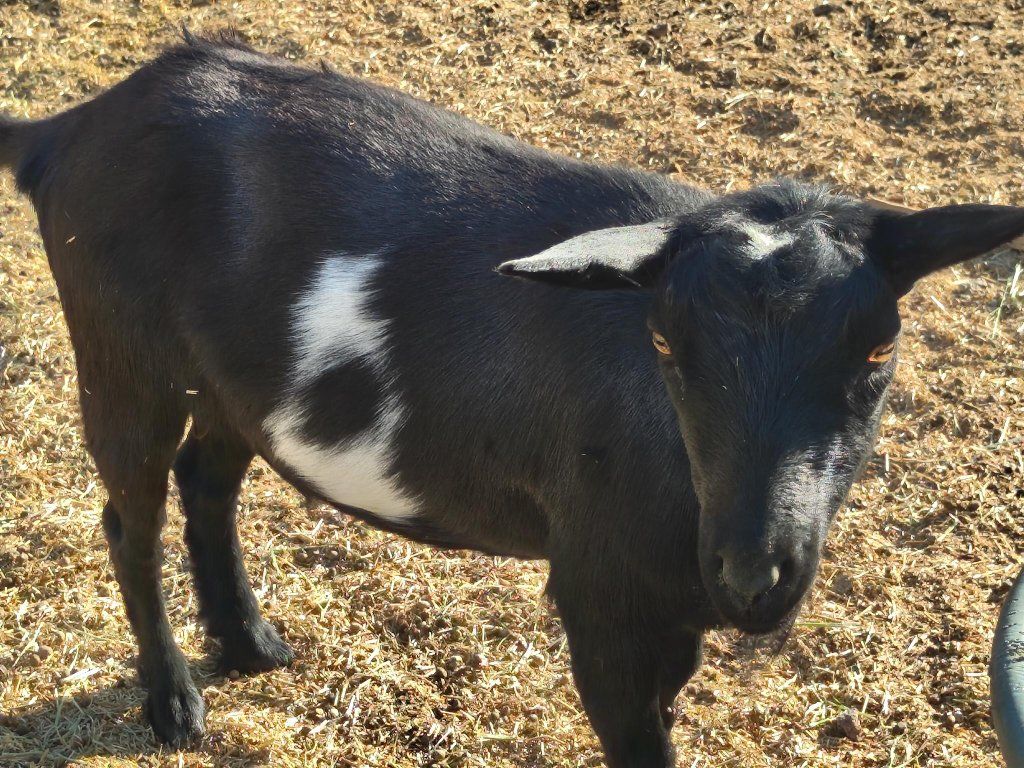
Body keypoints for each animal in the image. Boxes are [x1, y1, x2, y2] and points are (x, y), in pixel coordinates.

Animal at [2, 34, 1022, 767]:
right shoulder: (602, 590)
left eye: (880, 347)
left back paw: (249, 642)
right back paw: (173, 700)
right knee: (129, 515)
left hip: (229, 377)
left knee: (206, 481)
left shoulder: (671, 604)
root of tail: (68, 130)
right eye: (663, 343)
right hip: (119, 346)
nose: (751, 574)